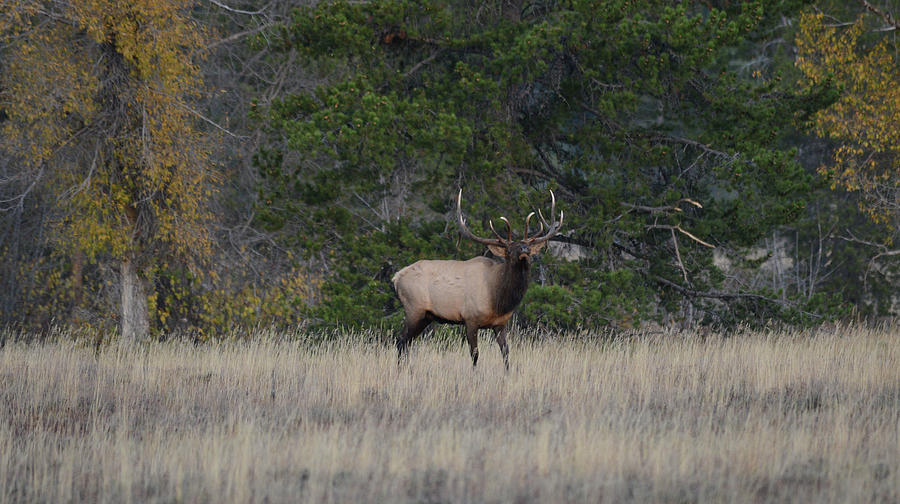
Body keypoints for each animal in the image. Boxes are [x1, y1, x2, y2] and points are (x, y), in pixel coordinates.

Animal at [392, 187, 564, 368]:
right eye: (509, 250)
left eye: (529, 247)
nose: (524, 249)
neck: (498, 300)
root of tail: (396, 278)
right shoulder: (470, 319)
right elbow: (475, 354)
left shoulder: (500, 324)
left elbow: (506, 353)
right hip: (414, 308)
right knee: (401, 339)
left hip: (425, 316)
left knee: (407, 342)